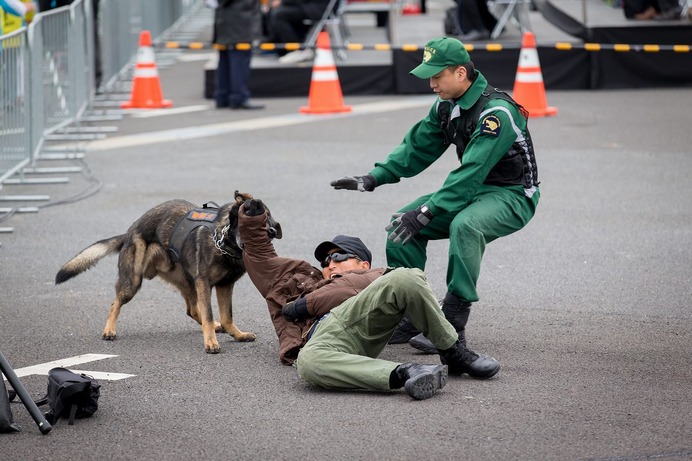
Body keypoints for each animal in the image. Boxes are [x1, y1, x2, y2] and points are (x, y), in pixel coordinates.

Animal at [54, 190, 282, 352]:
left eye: (267, 222)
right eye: (248, 222)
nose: (272, 231)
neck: (224, 241)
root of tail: (130, 231)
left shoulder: (224, 285)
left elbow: (227, 316)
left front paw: (235, 334)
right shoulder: (204, 283)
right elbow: (209, 314)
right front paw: (210, 342)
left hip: (187, 281)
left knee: (192, 310)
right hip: (134, 281)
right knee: (115, 303)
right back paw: (109, 330)